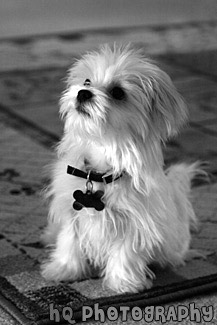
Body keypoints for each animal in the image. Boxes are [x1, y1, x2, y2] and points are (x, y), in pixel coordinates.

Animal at [41, 43, 201, 294]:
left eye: (118, 93)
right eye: (87, 81)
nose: (83, 93)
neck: (99, 171)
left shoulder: (135, 220)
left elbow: (126, 252)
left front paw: (123, 284)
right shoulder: (71, 211)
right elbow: (69, 241)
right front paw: (64, 270)